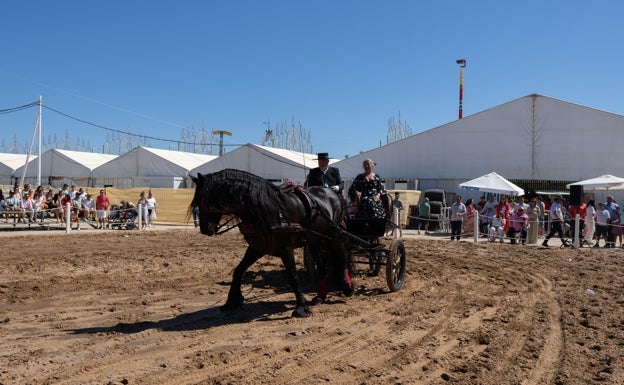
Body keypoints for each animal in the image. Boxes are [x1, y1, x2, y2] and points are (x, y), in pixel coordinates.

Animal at [190, 167, 352, 316]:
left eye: (205, 199)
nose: (205, 229)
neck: (265, 210)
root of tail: (332, 193)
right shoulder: (257, 247)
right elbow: (238, 271)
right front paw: (232, 301)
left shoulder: (286, 249)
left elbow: (293, 276)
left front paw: (301, 307)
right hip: (315, 240)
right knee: (322, 265)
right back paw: (320, 296)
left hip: (334, 235)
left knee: (341, 258)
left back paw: (347, 287)